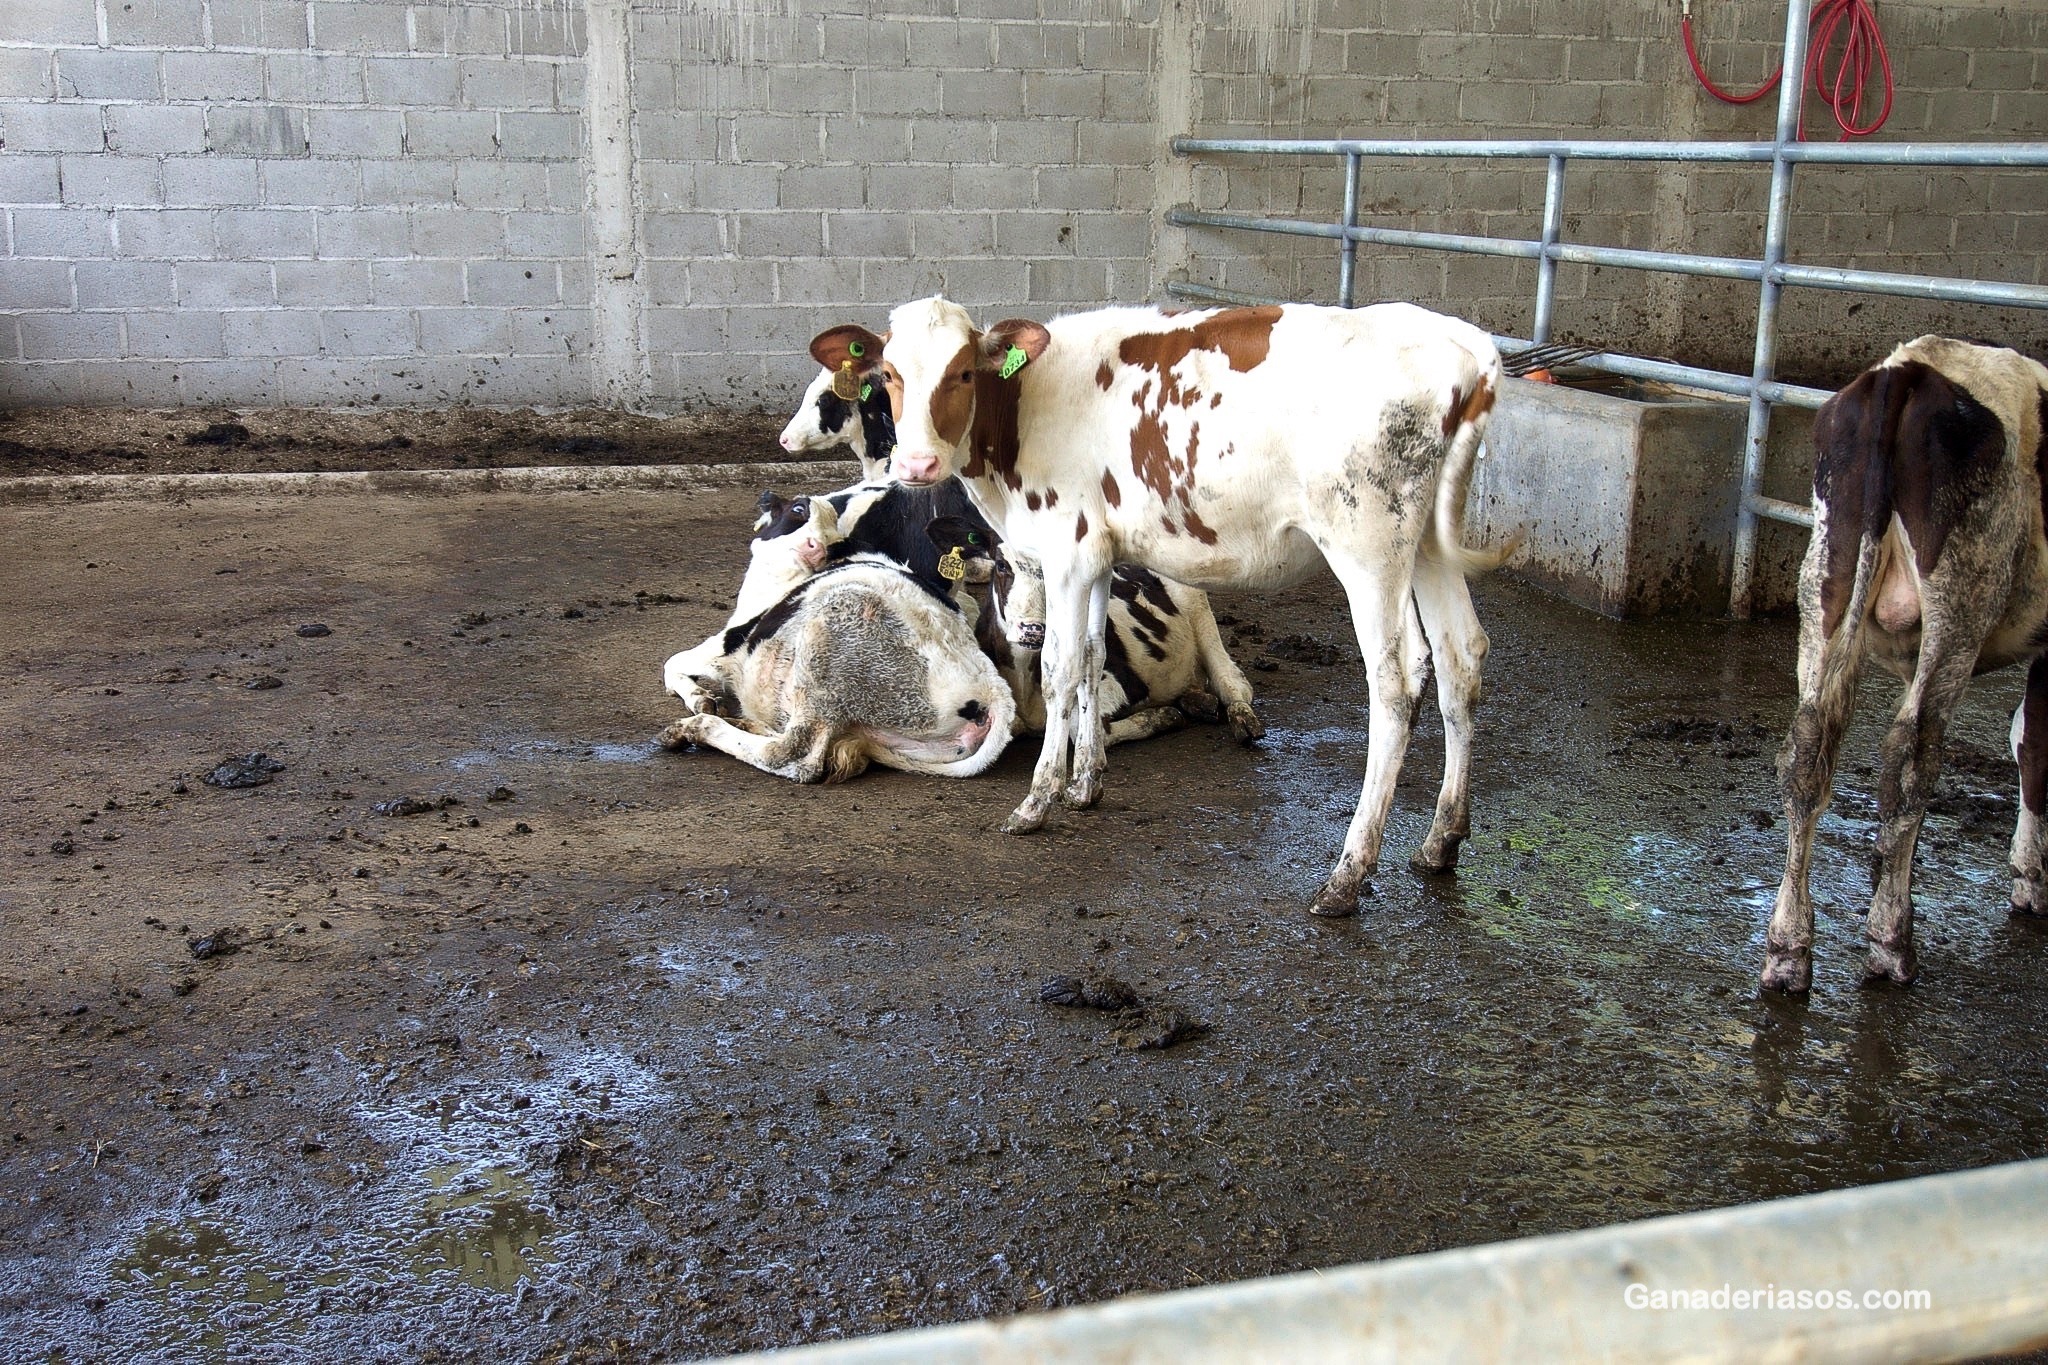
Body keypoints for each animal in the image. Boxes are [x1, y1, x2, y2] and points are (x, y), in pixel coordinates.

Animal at [929, 515, 1261, 749]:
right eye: (1001, 564)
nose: (1034, 630)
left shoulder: (1123, 682)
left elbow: (1081, 726)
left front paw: (1161, 717)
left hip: (1196, 603)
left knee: (1232, 682)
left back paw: (1241, 719)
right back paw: (1199, 702)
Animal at [1761, 331, 2048, 994]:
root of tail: (1909, 369)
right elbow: (2037, 743)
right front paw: (2032, 878)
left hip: (1825, 583)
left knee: (1807, 751)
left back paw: (1789, 949)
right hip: (1961, 601)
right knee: (1911, 755)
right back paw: (1890, 942)